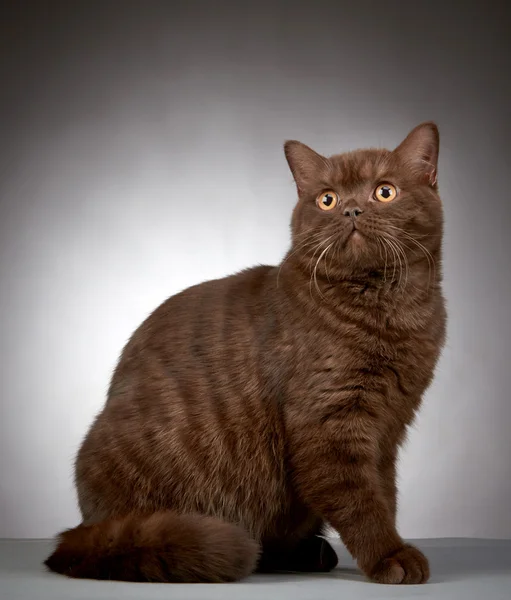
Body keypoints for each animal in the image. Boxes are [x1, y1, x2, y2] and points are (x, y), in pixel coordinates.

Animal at [47, 123, 448, 584]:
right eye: (327, 199)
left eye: (385, 192)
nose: (350, 210)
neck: (390, 310)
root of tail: (81, 533)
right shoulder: (329, 425)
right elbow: (361, 500)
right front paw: (390, 556)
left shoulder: (388, 428)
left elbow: (385, 492)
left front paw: (392, 550)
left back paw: (311, 552)